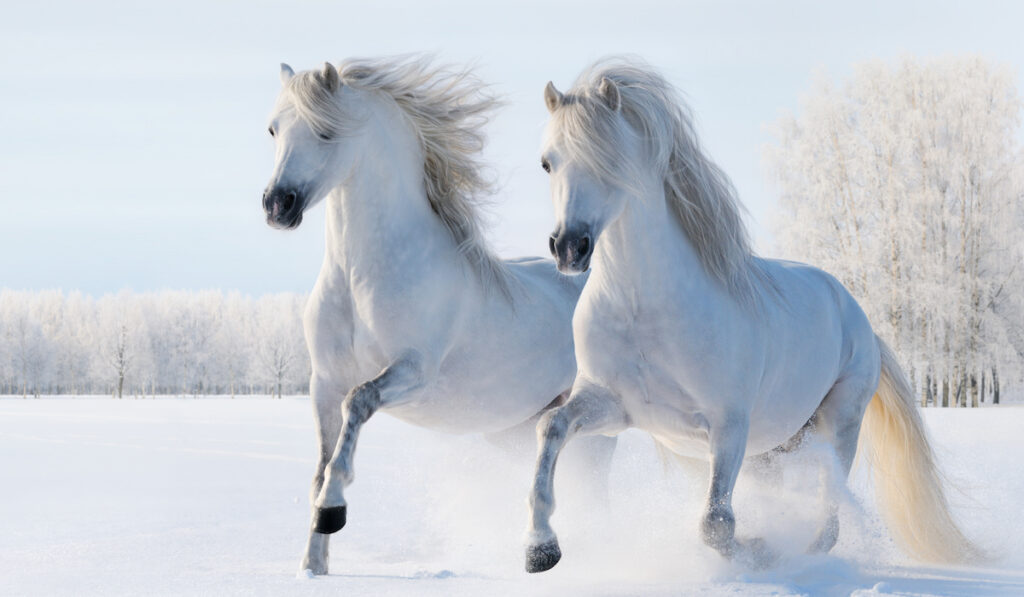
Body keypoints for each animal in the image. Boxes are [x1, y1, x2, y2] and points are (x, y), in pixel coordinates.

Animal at [264, 58, 610, 577]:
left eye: (326, 131)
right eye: (273, 129)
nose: (277, 205)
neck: (359, 279)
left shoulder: (412, 372)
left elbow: (358, 405)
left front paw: (333, 512)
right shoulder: (322, 383)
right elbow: (320, 466)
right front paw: (314, 566)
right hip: (515, 428)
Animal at [524, 58, 978, 573]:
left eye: (610, 158)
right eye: (547, 162)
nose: (569, 247)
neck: (644, 310)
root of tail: (858, 316)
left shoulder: (728, 426)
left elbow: (716, 524)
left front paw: (758, 551)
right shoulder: (613, 406)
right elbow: (550, 427)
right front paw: (540, 548)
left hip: (838, 425)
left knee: (830, 517)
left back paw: (801, 555)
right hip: (772, 450)